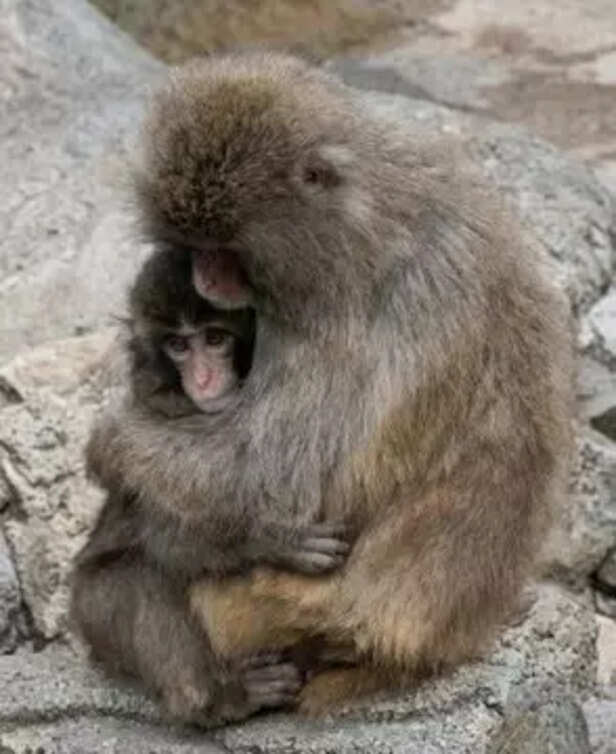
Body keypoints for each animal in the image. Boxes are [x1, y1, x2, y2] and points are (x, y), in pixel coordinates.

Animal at [76, 51, 574, 717]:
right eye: (194, 244)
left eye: (224, 250)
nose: (205, 277)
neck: (368, 221)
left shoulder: (336, 309)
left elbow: (278, 469)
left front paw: (112, 442)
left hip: (258, 609)